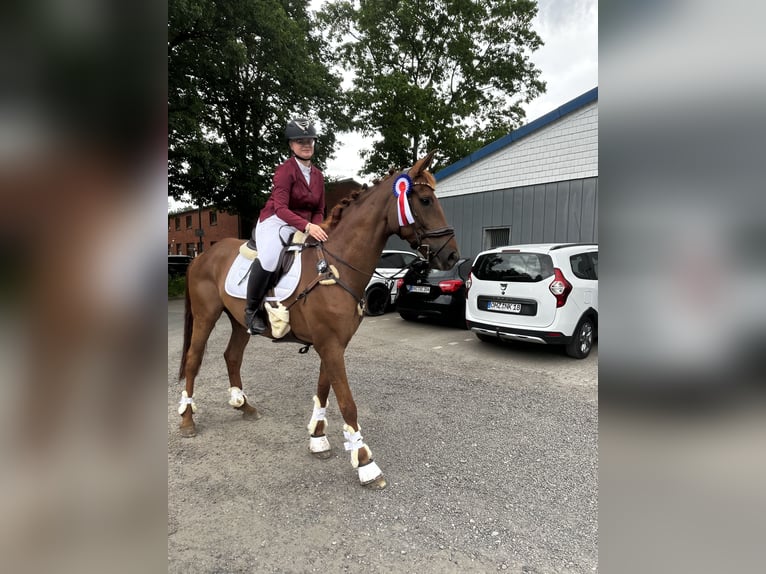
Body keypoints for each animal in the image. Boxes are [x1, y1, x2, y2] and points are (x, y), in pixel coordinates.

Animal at [177, 152, 460, 490]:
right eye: (426, 200)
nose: (451, 257)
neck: (336, 265)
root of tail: (201, 255)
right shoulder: (331, 345)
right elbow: (347, 401)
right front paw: (365, 462)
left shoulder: (333, 344)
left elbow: (324, 389)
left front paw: (318, 438)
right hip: (206, 317)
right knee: (193, 360)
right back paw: (187, 420)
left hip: (238, 322)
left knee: (232, 356)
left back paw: (244, 406)